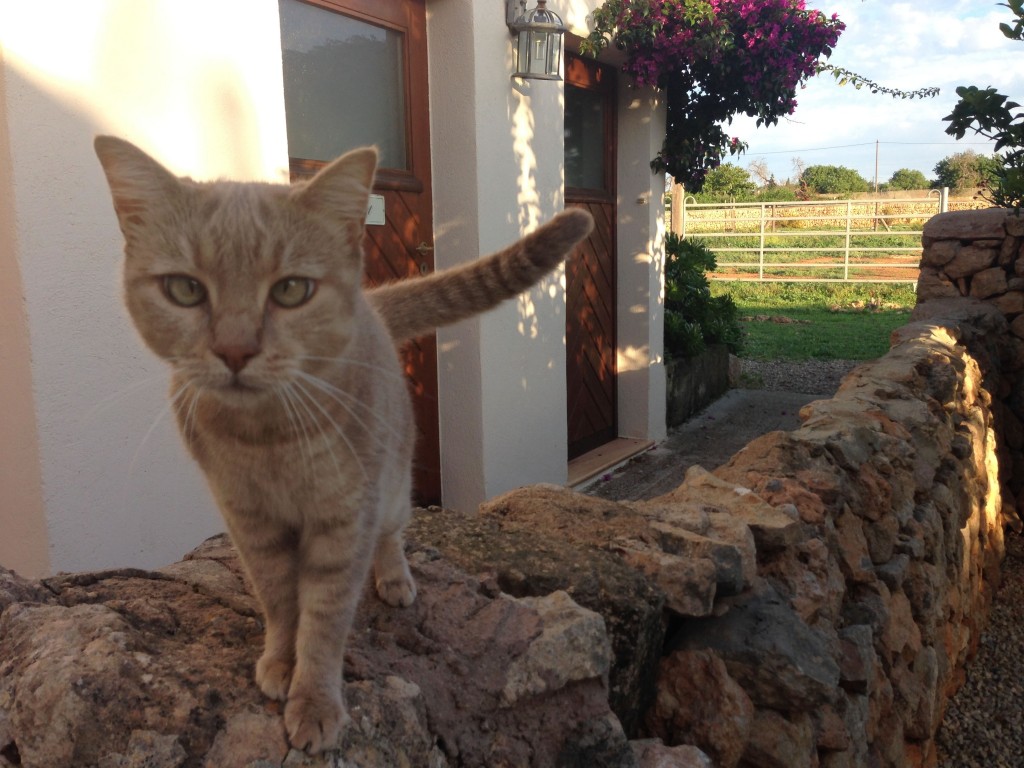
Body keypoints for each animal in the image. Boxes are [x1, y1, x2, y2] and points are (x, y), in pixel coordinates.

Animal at [93, 135, 598, 753]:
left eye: (291, 290)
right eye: (185, 289)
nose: (235, 350)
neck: (270, 438)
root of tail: (373, 306)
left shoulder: (345, 517)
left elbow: (324, 617)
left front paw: (314, 700)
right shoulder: (249, 521)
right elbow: (280, 601)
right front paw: (281, 662)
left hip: (392, 486)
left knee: (392, 536)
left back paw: (395, 578)